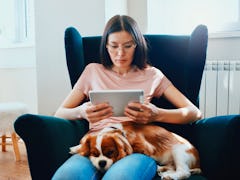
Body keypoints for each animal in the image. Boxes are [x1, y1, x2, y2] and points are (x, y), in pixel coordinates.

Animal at [70, 121, 202, 179]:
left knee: (184, 171)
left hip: (178, 150)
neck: (121, 132)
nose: (102, 163)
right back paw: (161, 169)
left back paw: (170, 176)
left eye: (111, 153)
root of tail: (198, 163)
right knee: (172, 167)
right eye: (94, 154)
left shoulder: (145, 147)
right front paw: (77, 148)